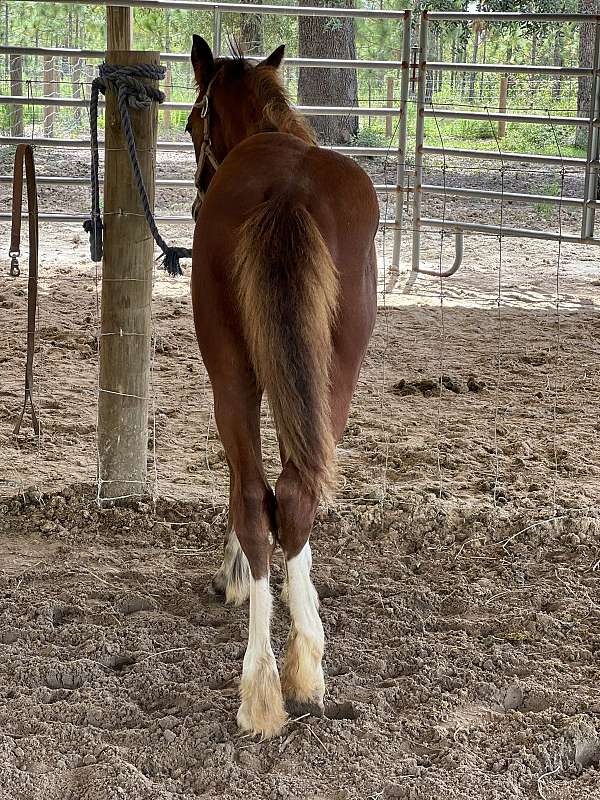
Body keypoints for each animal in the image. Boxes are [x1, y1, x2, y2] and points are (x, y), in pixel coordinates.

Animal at [185, 37, 378, 736]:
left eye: (194, 124)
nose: (197, 196)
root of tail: (285, 192)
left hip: (234, 372)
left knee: (259, 495)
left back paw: (266, 682)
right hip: (329, 371)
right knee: (293, 492)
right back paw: (293, 670)